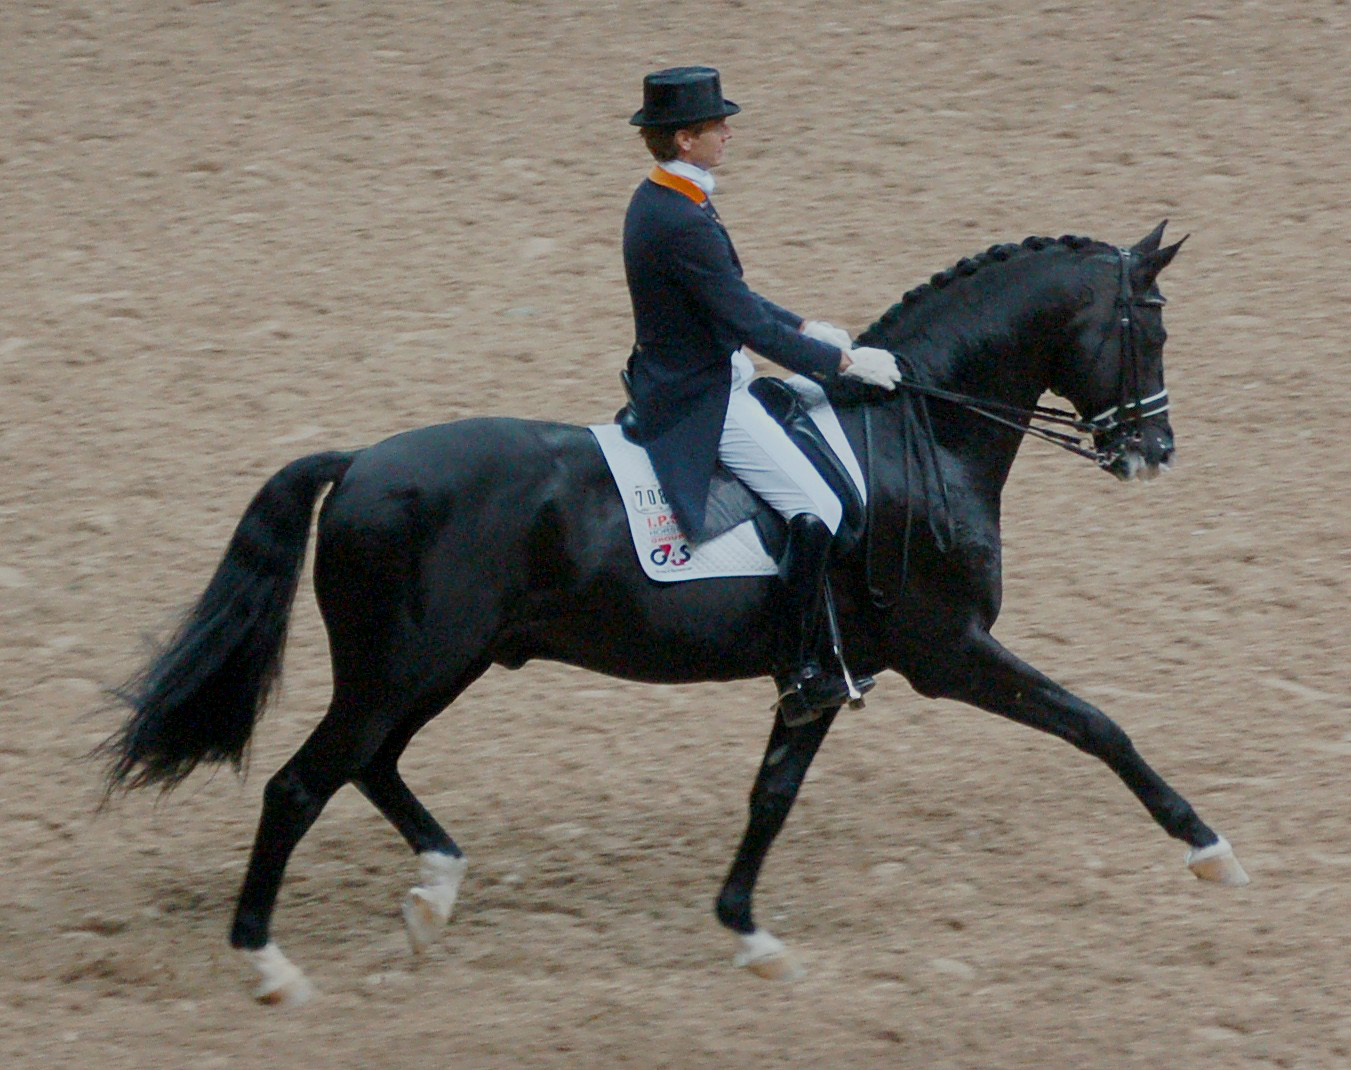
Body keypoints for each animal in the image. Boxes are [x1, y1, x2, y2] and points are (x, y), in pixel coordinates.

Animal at [100, 221, 1248, 1006]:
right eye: (1147, 328)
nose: (1153, 450)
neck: (912, 436)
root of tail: (360, 464)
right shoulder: (948, 651)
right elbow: (1096, 724)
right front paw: (1208, 849)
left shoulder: (826, 673)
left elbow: (771, 795)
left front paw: (747, 933)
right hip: (401, 668)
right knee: (301, 785)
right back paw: (271, 965)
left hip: (437, 667)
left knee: (369, 765)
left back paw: (434, 892)